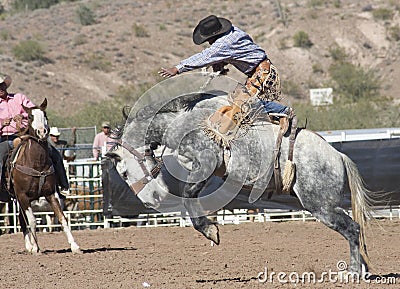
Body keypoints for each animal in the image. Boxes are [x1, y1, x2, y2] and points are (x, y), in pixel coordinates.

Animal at [10, 98, 80, 252]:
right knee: (24, 220)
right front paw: (36, 248)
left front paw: (74, 245)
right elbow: (32, 221)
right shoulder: (23, 196)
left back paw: (29, 246)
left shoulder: (50, 194)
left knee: (21, 219)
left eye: (45, 115)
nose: (42, 132)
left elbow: (62, 218)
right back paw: (31, 246)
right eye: (30, 117)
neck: (36, 163)